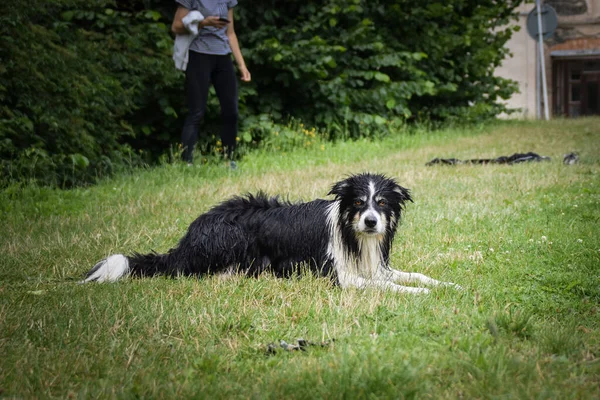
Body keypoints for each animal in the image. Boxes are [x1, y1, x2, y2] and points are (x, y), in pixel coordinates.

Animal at [84, 173, 458, 294]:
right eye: (357, 202)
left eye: (380, 203)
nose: (370, 222)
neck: (353, 233)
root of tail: (188, 238)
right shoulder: (341, 276)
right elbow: (388, 287)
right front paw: (420, 295)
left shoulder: (375, 265)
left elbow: (414, 275)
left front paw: (447, 285)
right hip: (231, 237)